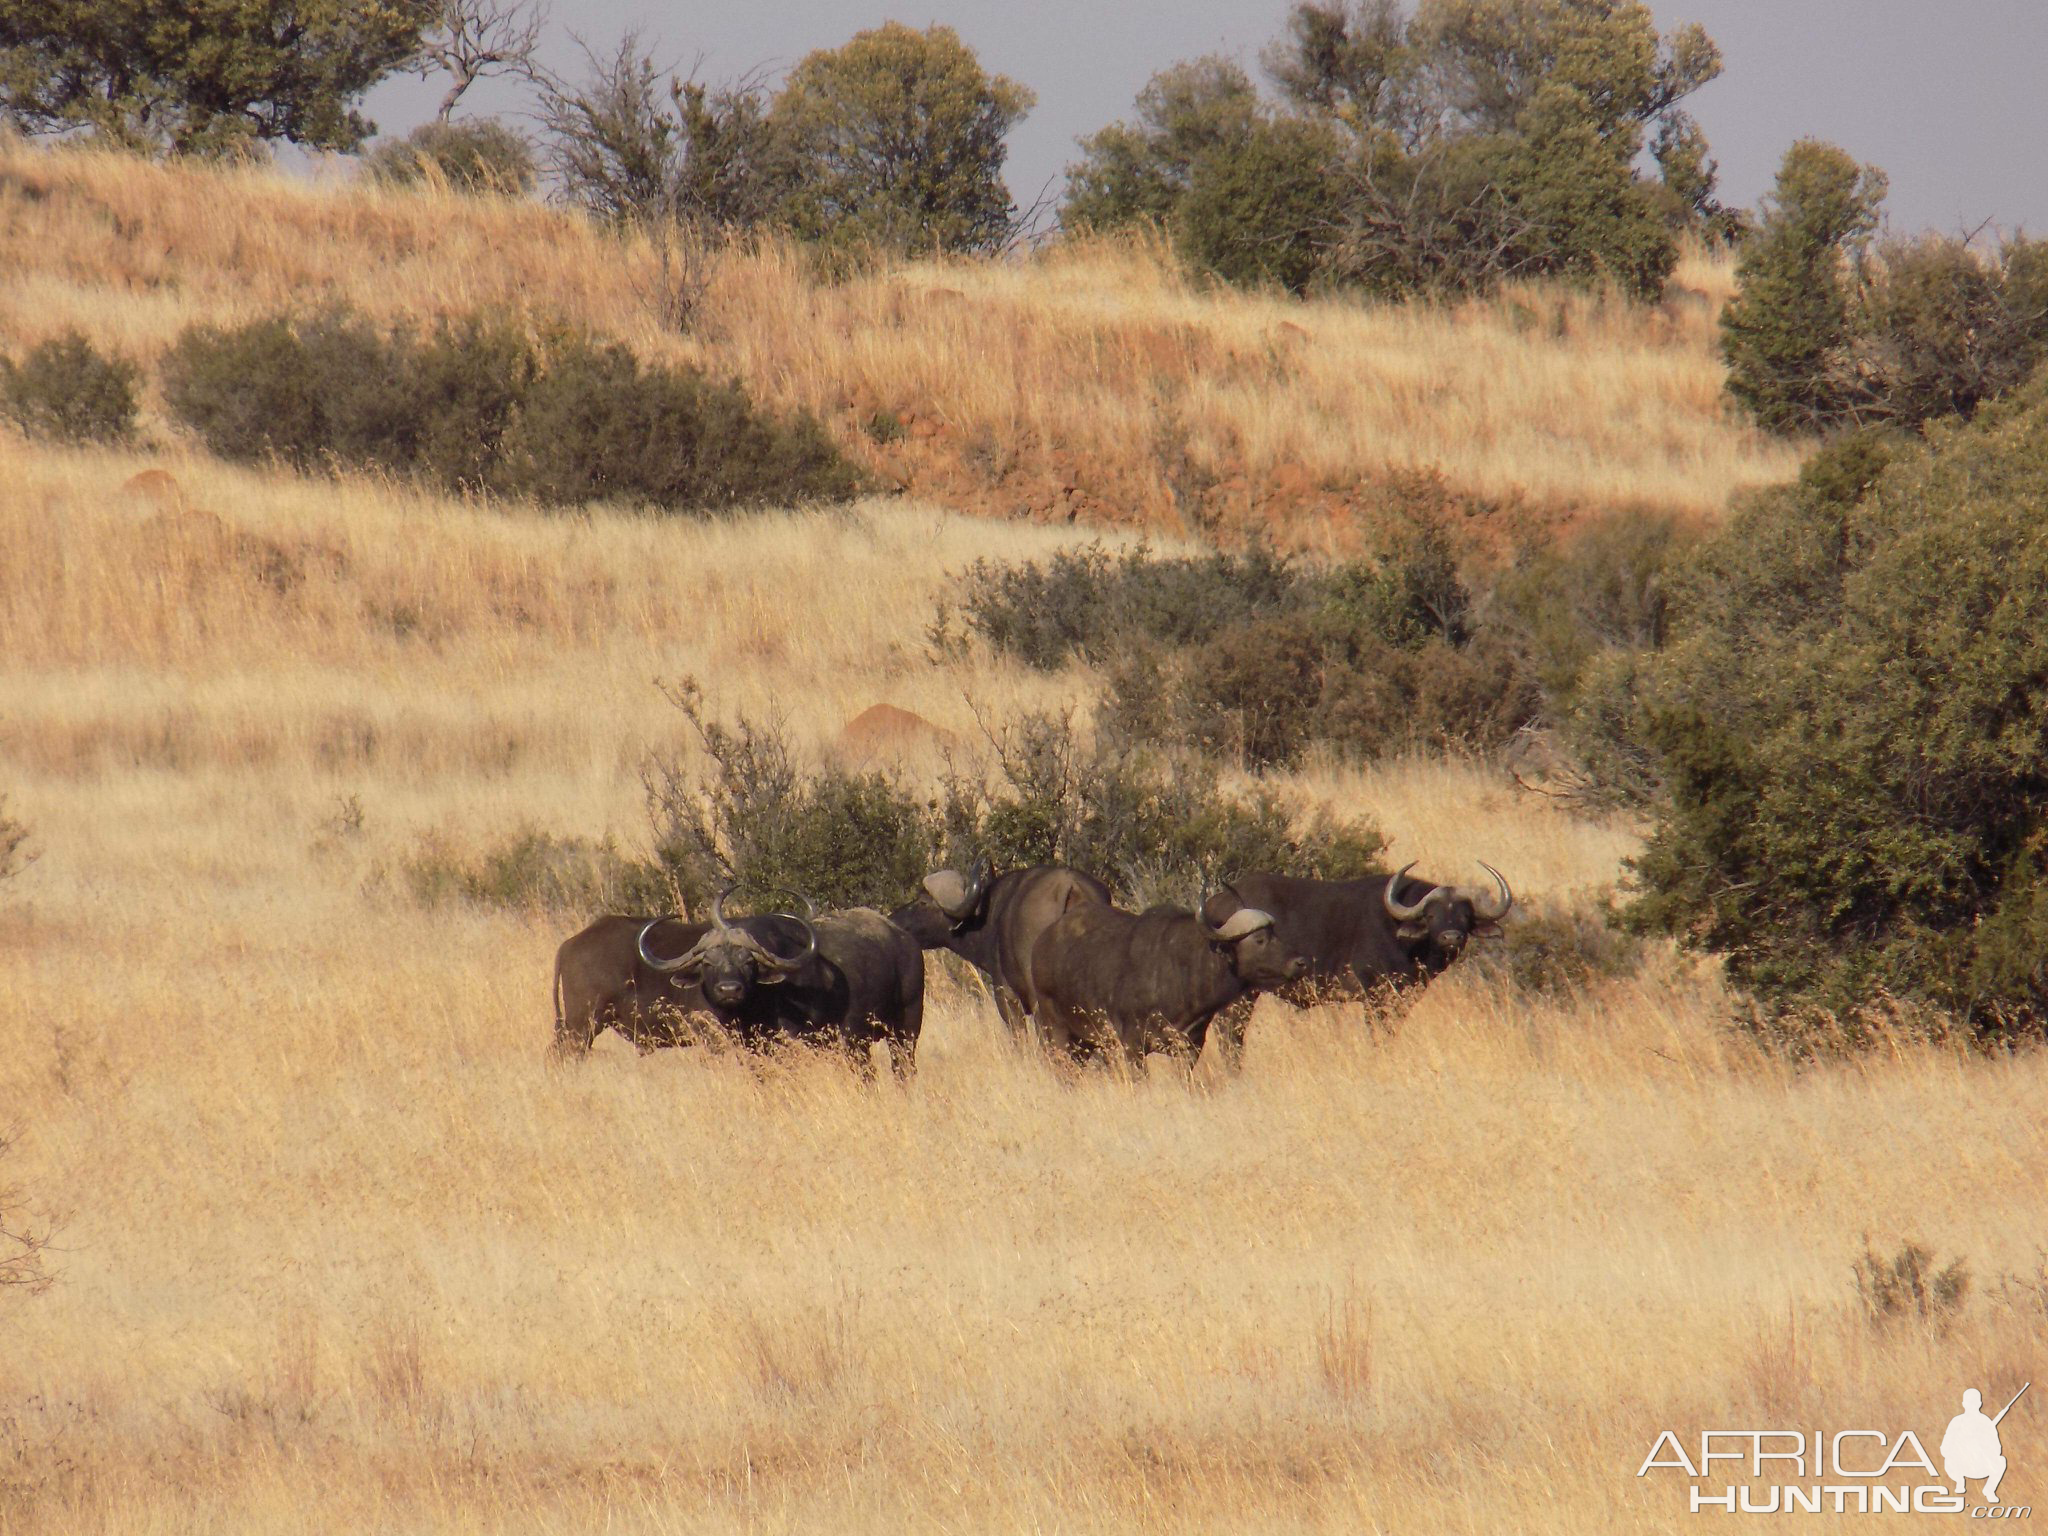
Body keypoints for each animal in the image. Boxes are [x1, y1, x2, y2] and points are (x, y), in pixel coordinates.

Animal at [1032, 901, 1302, 1073]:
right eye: (1260, 939)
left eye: (1275, 933)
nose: (1300, 963)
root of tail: (1042, 942)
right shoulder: (1132, 1047)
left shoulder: (1191, 1048)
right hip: (1057, 1032)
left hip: (1085, 1043)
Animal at [1196, 868, 1515, 1073]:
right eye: (1432, 915)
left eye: (1464, 915)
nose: (1451, 937)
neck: (1401, 935)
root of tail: (1216, 906)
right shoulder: (1376, 998)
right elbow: (1379, 1037)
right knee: (1230, 1035)